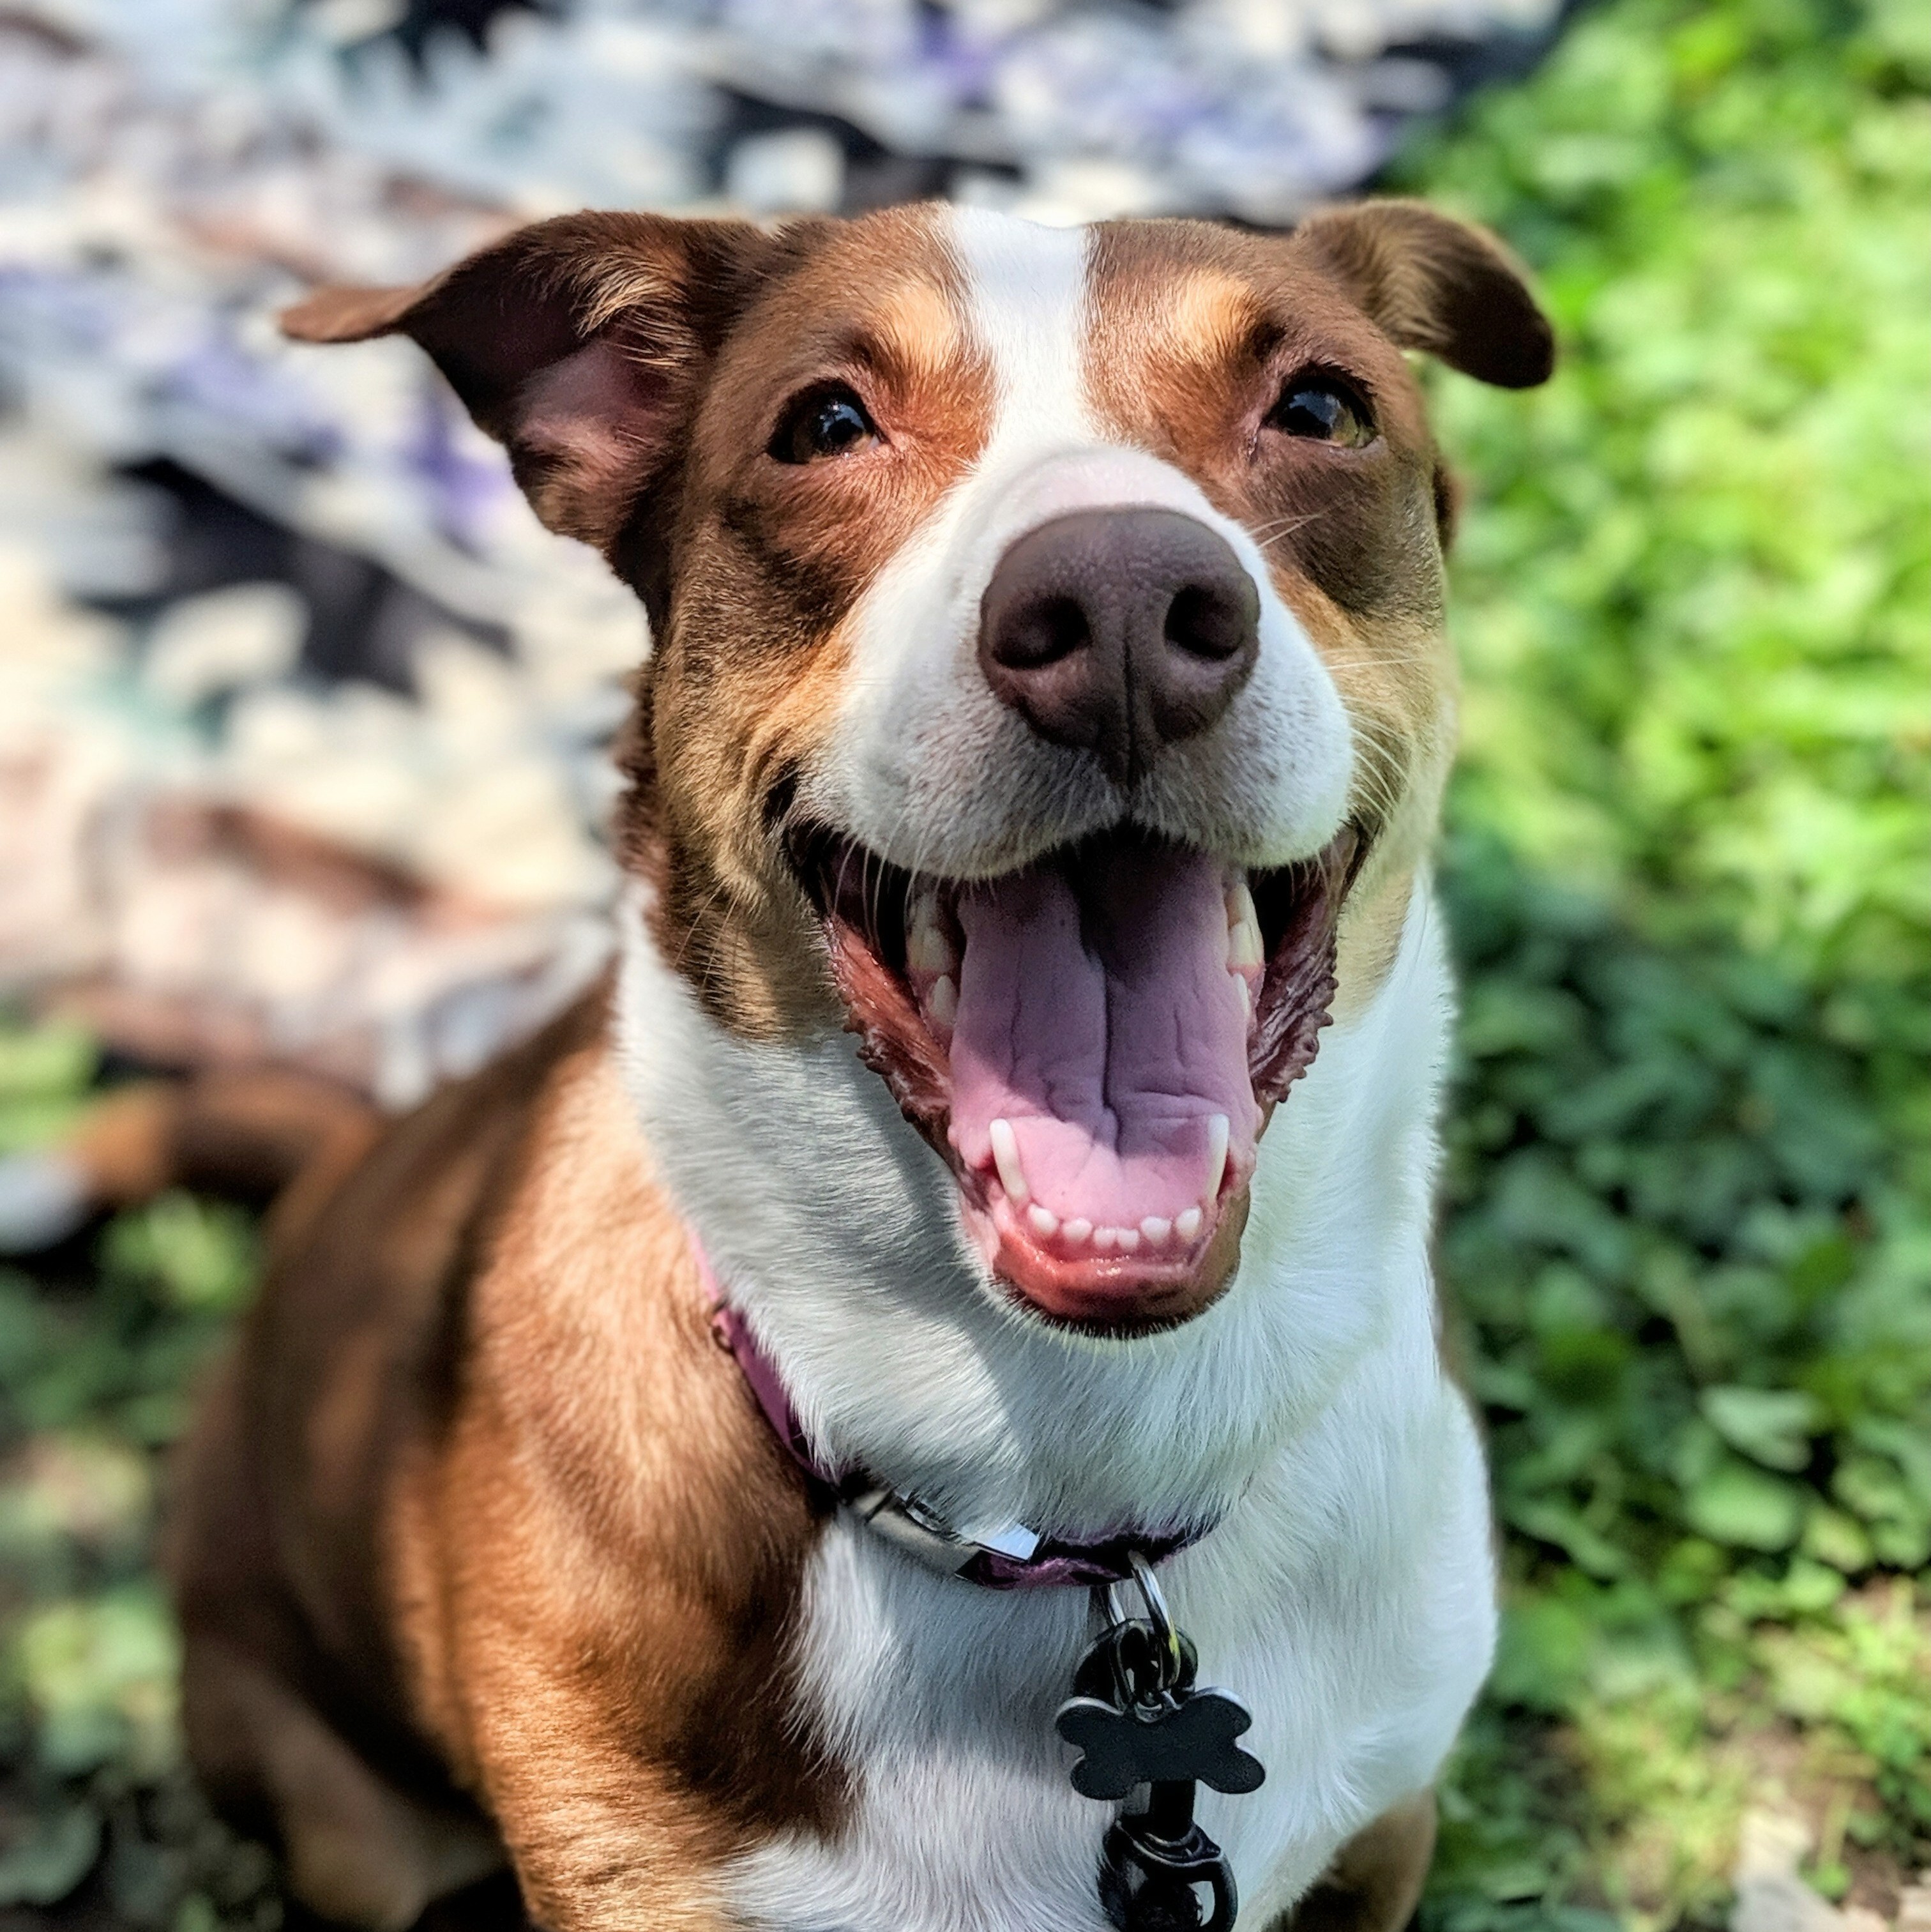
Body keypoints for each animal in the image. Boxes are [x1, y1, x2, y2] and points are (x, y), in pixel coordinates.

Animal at [116, 200, 1552, 1932]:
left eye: (1324, 408)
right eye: (823, 426)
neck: (1071, 1483)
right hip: (347, 1823)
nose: (1122, 609)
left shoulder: (1384, 1823)